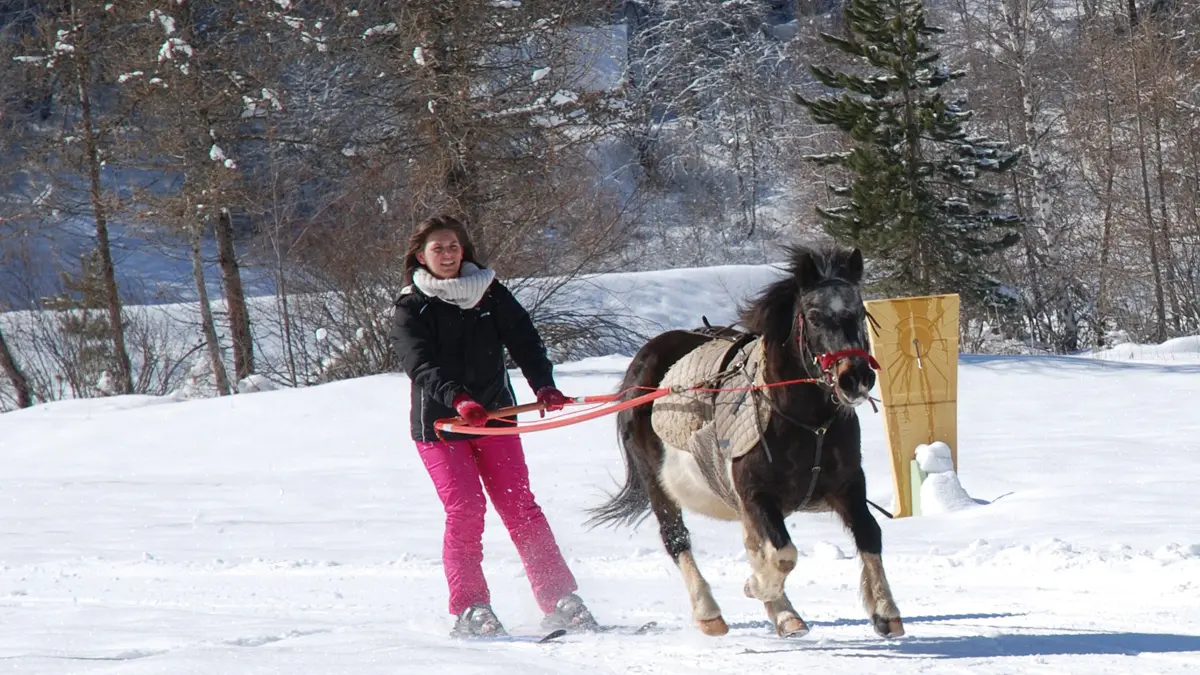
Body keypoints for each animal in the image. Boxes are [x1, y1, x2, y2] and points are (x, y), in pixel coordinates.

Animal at [585, 240, 902, 634]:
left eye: (859, 313)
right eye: (814, 316)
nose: (855, 378)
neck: (807, 424)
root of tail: (644, 363)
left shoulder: (847, 486)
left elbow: (869, 535)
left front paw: (885, 610)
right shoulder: (756, 493)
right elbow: (782, 555)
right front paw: (756, 585)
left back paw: (784, 615)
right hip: (658, 484)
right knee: (676, 539)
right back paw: (711, 613)